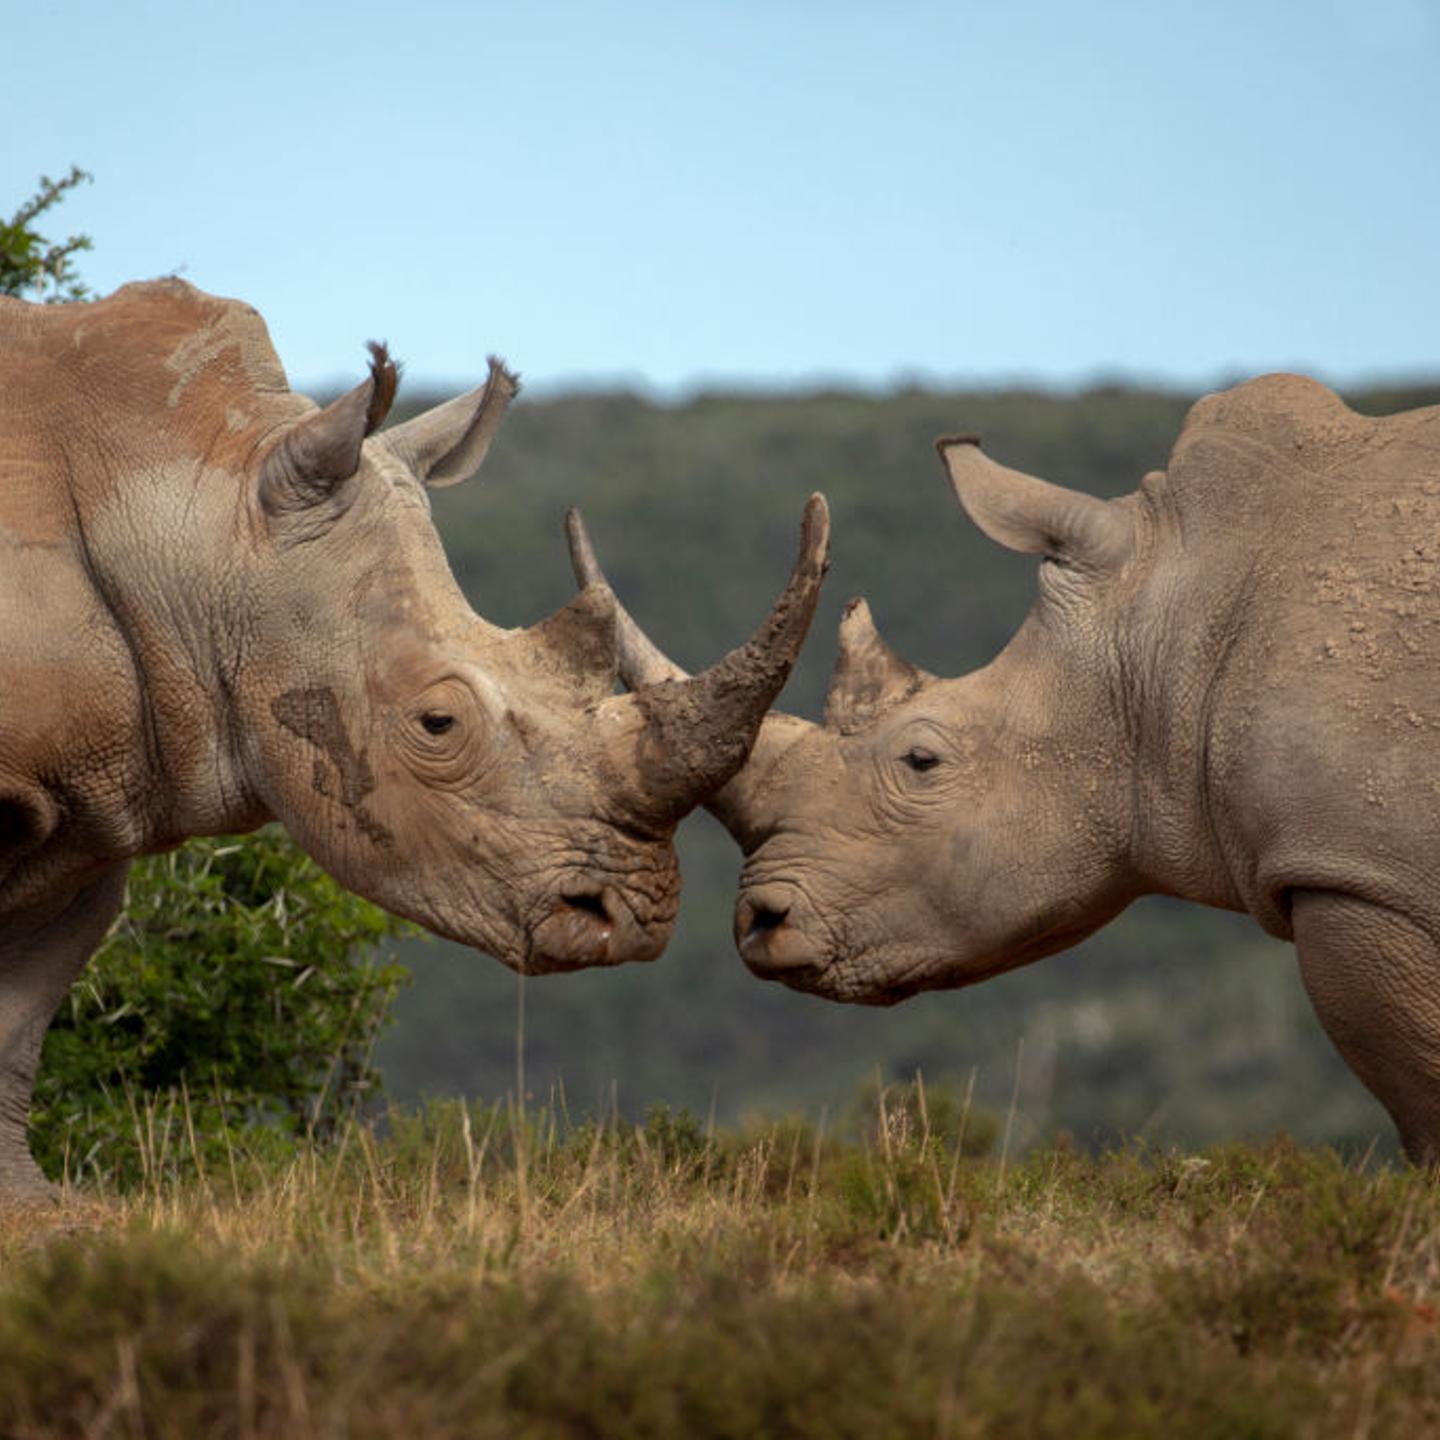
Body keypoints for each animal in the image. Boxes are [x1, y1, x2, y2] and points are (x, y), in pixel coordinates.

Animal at [0, 278, 829, 1198]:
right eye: (439, 724)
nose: (637, 918)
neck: (202, 518)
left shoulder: (106, 796)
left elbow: (21, 1010)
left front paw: (38, 1209)